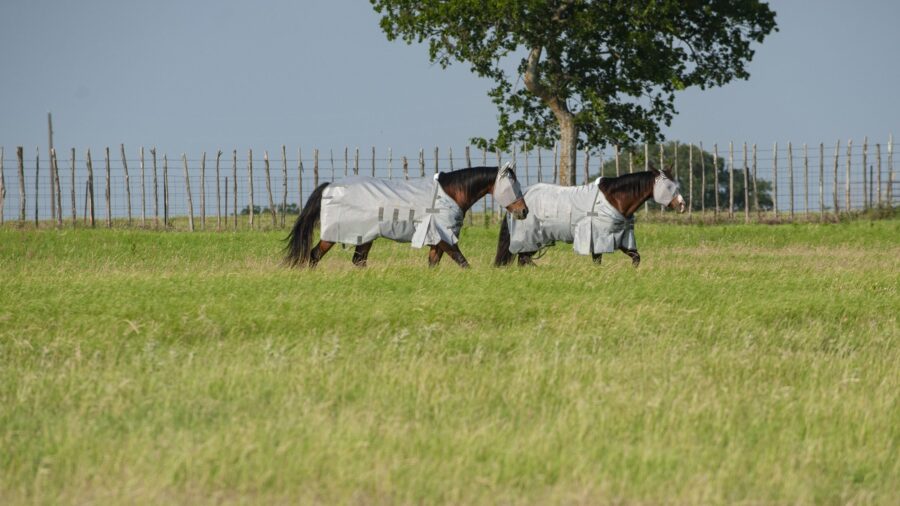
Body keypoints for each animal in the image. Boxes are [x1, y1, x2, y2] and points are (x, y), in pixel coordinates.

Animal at [285, 164, 528, 268]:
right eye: (513, 185)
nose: (524, 211)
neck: (449, 194)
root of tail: (330, 187)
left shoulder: (436, 241)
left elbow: (433, 264)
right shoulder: (444, 238)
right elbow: (462, 261)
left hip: (365, 237)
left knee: (358, 261)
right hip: (335, 235)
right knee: (314, 255)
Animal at [494, 167, 685, 268]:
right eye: (668, 186)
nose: (682, 205)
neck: (614, 199)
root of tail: (520, 200)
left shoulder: (621, 239)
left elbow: (636, 257)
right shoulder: (599, 239)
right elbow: (598, 261)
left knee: (523, 259)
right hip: (533, 237)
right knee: (524, 258)